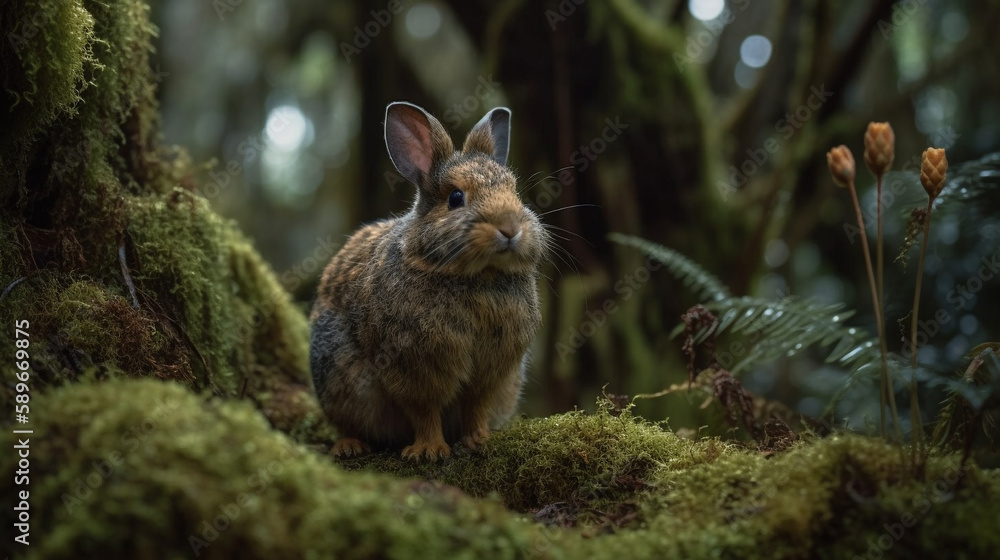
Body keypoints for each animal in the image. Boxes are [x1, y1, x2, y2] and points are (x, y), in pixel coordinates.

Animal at [309, 101, 547, 461]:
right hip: (335, 372)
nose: (509, 228)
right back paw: (349, 446)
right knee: (347, 422)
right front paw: (428, 450)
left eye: (514, 192)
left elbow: (476, 404)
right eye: (455, 198)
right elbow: (424, 410)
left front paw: (480, 439)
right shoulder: (412, 368)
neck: (473, 276)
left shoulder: (492, 372)